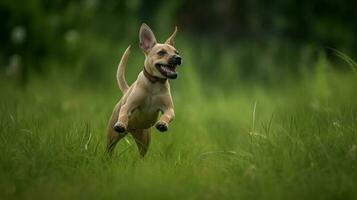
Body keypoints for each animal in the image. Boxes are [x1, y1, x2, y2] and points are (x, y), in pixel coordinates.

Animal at [106, 22, 182, 156]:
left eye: (176, 52)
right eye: (161, 52)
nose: (178, 58)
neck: (154, 84)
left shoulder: (169, 109)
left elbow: (168, 115)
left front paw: (162, 123)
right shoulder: (128, 106)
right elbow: (124, 113)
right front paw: (121, 123)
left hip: (144, 140)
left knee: (141, 154)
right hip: (112, 137)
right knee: (110, 148)